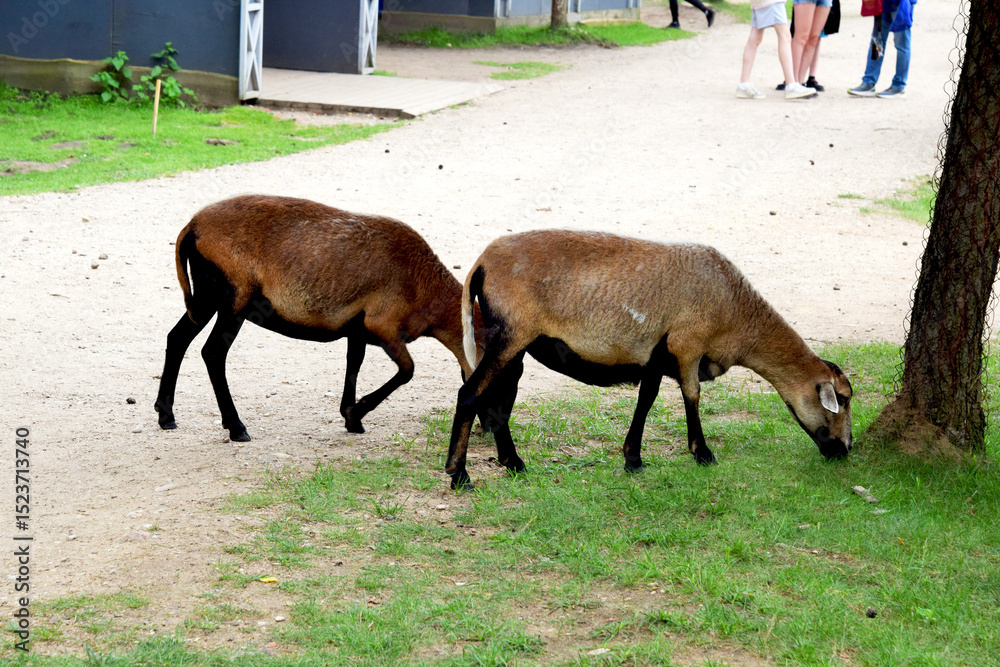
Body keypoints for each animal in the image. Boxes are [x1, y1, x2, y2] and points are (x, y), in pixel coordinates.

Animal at [154, 194, 482, 442]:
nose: (486, 428)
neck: (426, 287)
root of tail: (192, 228)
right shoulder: (383, 325)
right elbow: (407, 370)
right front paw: (356, 412)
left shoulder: (357, 327)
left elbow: (354, 364)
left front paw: (351, 418)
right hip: (234, 295)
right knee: (212, 352)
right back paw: (236, 427)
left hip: (205, 295)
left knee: (177, 338)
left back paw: (166, 415)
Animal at [445, 230, 853, 489]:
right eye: (843, 400)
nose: (846, 450)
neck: (739, 317)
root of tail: (481, 263)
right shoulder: (688, 345)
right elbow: (692, 396)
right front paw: (703, 454)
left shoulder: (657, 354)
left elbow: (647, 400)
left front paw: (633, 459)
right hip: (511, 334)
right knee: (470, 393)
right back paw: (459, 475)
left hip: (512, 343)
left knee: (498, 400)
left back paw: (513, 464)